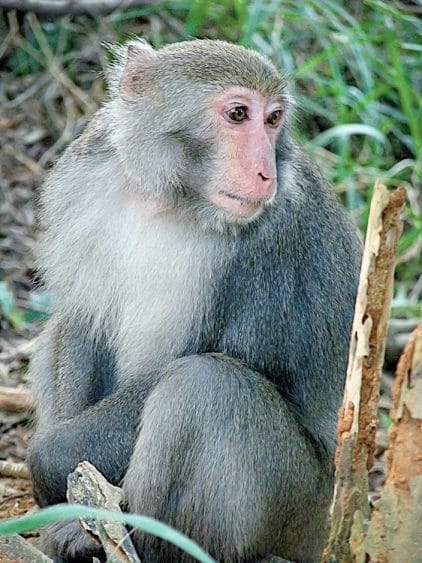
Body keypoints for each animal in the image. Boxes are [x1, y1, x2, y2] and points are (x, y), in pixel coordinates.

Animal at [27, 39, 362, 563]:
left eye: (273, 119)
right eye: (239, 114)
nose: (265, 172)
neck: (174, 200)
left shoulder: (277, 239)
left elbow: (224, 360)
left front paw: (49, 466)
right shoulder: (84, 173)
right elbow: (83, 322)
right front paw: (68, 507)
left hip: (301, 508)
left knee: (205, 387)